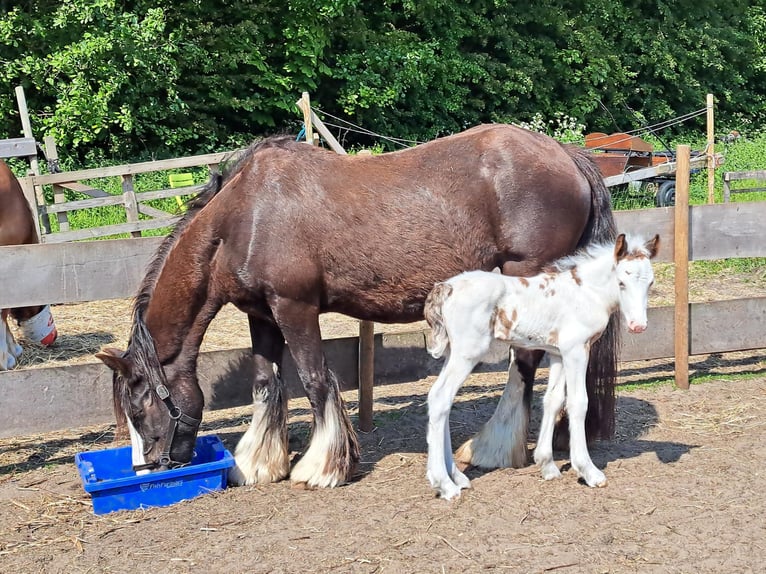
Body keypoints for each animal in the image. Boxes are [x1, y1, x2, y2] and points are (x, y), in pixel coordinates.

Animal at [97, 125, 624, 490]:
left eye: (139, 410)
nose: (150, 468)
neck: (245, 216)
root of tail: (567, 154)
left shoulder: (295, 308)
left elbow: (315, 380)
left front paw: (322, 466)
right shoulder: (262, 314)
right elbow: (266, 383)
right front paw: (258, 462)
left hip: (526, 277)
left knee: (524, 362)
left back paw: (494, 446)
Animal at [424, 233, 664, 500]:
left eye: (650, 282)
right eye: (621, 282)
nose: (637, 326)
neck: (585, 293)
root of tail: (446, 288)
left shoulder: (558, 353)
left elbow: (553, 400)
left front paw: (547, 465)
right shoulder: (576, 350)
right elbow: (578, 403)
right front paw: (589, 471)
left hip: (453, 353)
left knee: (441, 401)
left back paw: (457, 477)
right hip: (468, 352)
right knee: (440, 398)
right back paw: (445, 485)